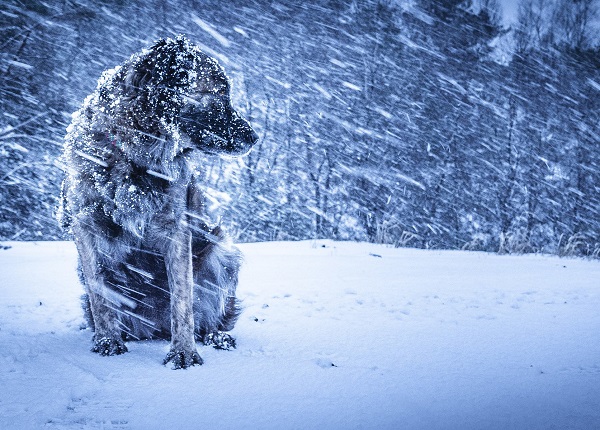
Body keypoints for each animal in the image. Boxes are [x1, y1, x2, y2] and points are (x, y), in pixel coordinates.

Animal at [57, 35, 258, 368]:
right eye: (219, 94)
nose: (255, 137)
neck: (131, 153)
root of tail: (154, 329)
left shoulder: (176, 229)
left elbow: (183, 299)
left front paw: (183, 352)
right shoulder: (85, 225)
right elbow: (100, 293)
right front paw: (107, 341)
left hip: (220, 252)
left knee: (208, 316)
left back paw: (216, 335)